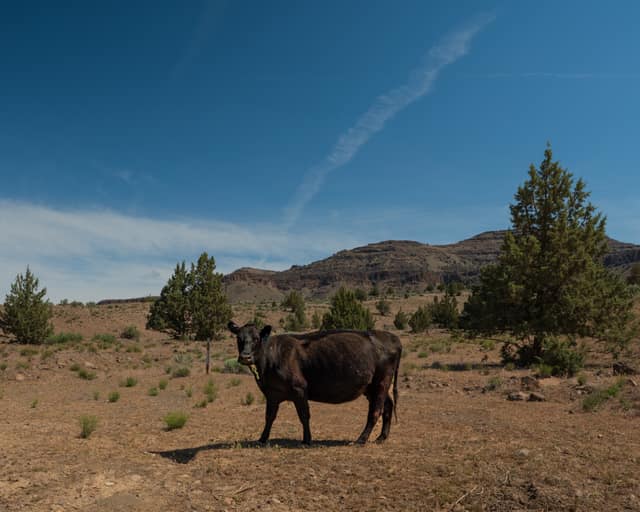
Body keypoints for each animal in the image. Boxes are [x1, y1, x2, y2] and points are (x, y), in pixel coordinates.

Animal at [227, 321, 402, 445]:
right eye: (239, 338)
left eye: (256, 338)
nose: (245, 357)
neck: (271, 356)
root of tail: (392, 337)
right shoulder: (272, 393)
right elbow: (269, 417)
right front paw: (262, 438)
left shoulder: (299, 389)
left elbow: (304, 415)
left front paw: (307, 439)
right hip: (372, 387)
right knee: (388, 405)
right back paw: (381, 437)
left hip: (381, 382)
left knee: (376, 411)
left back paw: (361, 439)